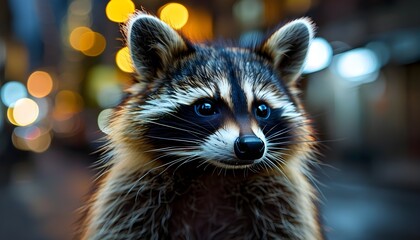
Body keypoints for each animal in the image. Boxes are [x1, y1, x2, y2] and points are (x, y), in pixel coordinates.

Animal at [79, 12, 322, 240]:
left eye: (262, 110)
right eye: (206, 107)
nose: (252, 145)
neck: (215, 172)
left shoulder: (285, 202)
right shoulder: (130, 197)